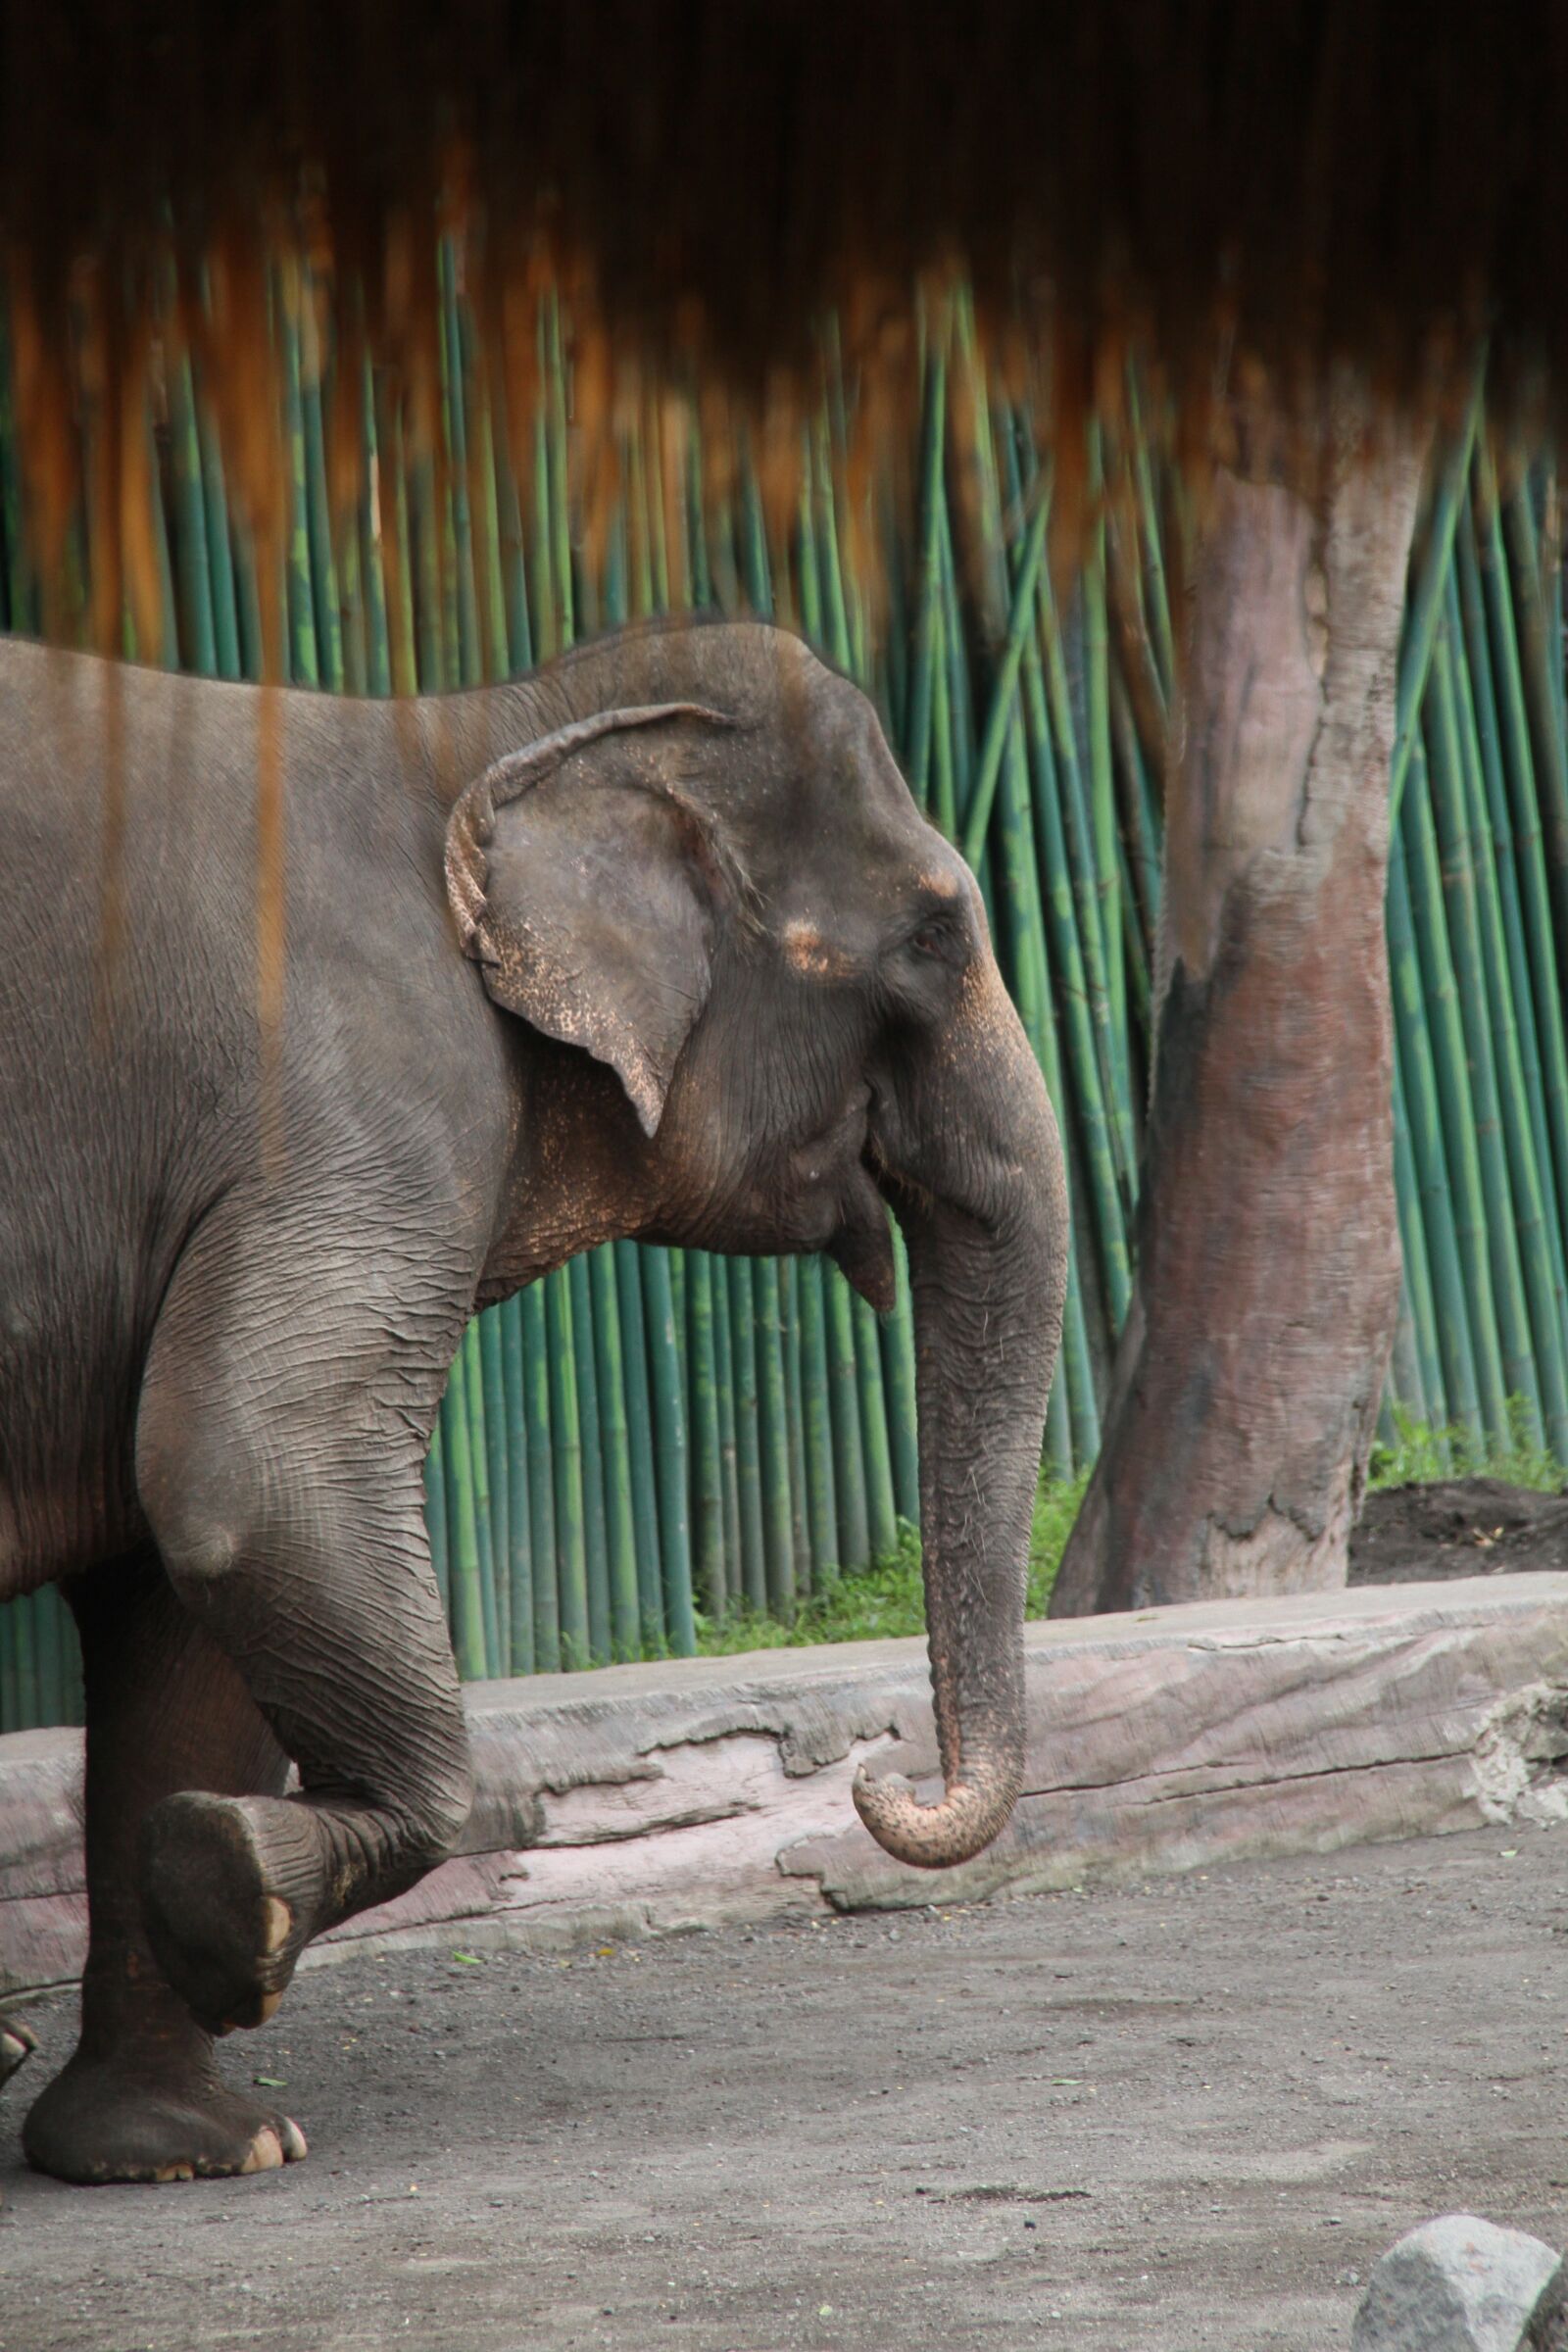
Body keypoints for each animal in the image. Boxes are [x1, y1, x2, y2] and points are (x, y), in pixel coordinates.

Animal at [0, 616, 1066, 2185]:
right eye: (934, 937)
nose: (885, 1780)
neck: (487, 727)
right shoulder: (365, 1097)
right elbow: (244, 1472)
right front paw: (234, 1894)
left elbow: (171, 1578)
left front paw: (187, 2146)